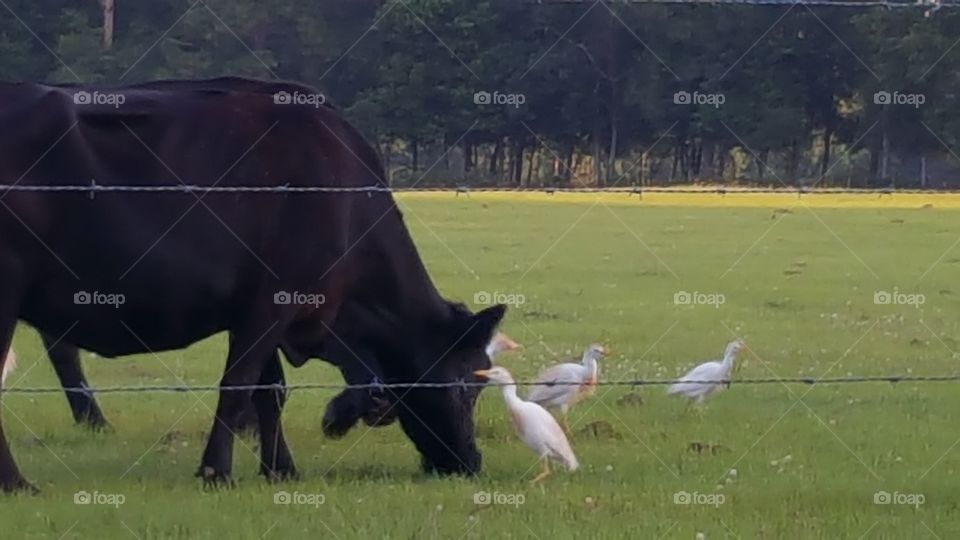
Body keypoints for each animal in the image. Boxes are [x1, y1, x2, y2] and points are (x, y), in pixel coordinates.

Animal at [0, 77, 505, 492]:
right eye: (468, 384)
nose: (469, 461)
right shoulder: (273, 304)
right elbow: (238, 385)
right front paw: (217, 472)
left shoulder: (262, 312)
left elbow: (270, 390)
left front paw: (281, 469)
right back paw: (17, 482)